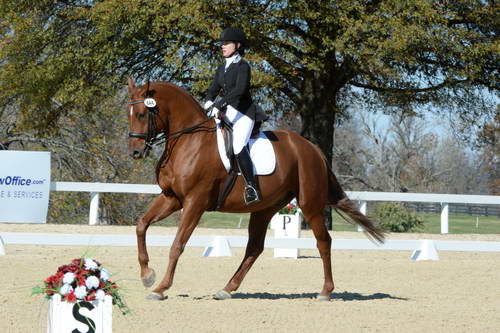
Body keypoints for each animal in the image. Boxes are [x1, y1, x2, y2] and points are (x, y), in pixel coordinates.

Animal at [126, 78, 382, 300]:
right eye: (130, 115)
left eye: (142, 114)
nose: (135, 152)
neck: (188, 141)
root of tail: (313, 149)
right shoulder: (172, 198)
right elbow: (141, 225)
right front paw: (147, 276)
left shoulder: (194, 203)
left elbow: (177, 245)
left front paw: (160, 288)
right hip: (265, 208)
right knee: (255, 247)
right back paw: (227, 288)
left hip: (310, 204)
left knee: (323, 241)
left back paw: (326, 291)